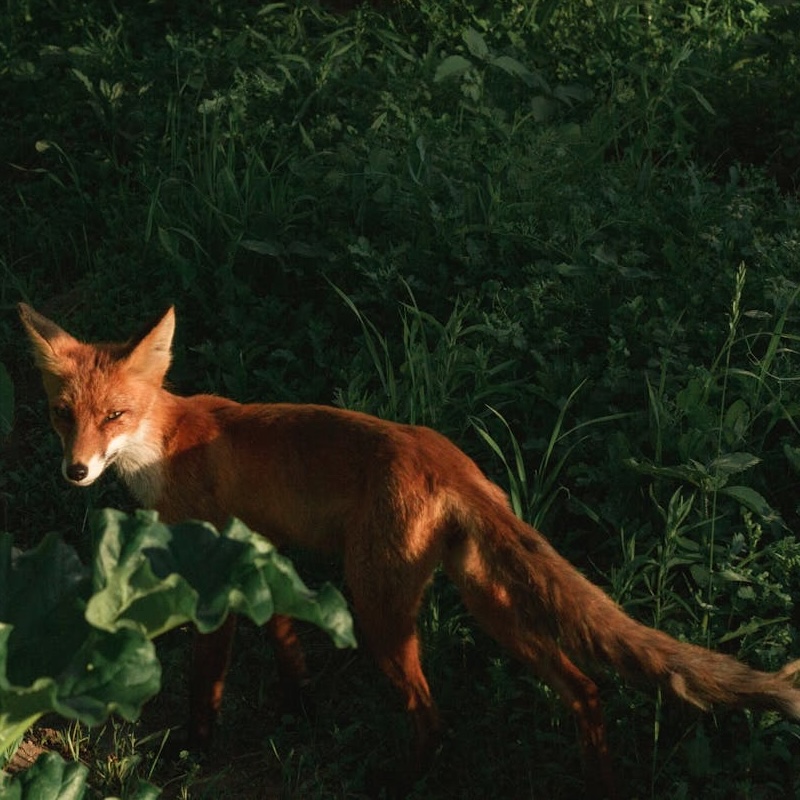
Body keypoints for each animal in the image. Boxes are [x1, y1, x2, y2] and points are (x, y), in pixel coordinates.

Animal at [18, 302, 800, 797]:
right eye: (63, 415)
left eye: (115, 415)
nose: (76, 471)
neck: (165, 445)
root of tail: (445, 458)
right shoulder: (260, 557)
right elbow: (287, 642)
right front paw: (301, 707)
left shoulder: (212, 578)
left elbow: (204, 685)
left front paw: (191, 755)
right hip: (490, 605)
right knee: (585, 686)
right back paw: (601, 786)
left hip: (379, 611)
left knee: (434, 716)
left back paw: (406, 781)